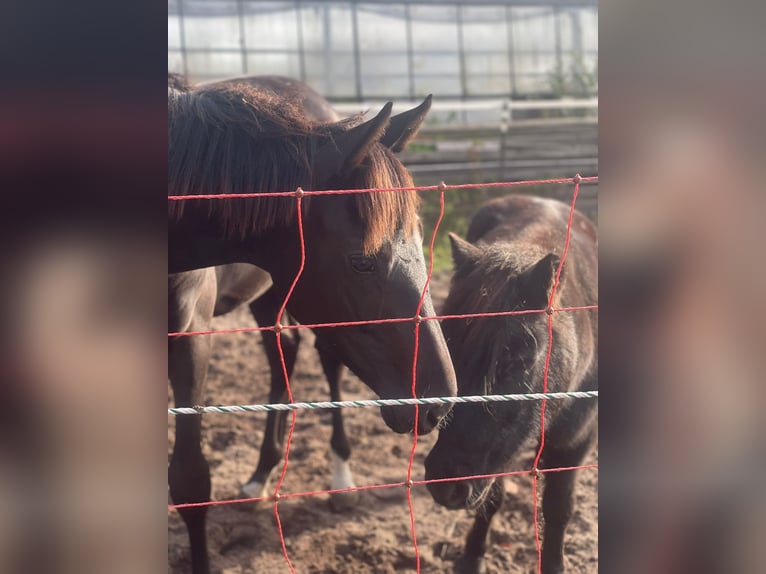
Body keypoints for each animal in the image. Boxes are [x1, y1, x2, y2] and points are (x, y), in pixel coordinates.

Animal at [168, 79, 456, 572]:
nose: (438, 402)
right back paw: (262, 475)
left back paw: (339, 479)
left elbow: (189, 480)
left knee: (322, 362)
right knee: (284, 351)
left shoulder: (191, 343)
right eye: (361, 260)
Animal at [426, 197, 600, 574]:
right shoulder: (497, 453)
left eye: (520, 356)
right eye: (448, 342)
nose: (445, 484)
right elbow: (492, 499)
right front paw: (472, 556)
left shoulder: (576, 442)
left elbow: (559, 508)